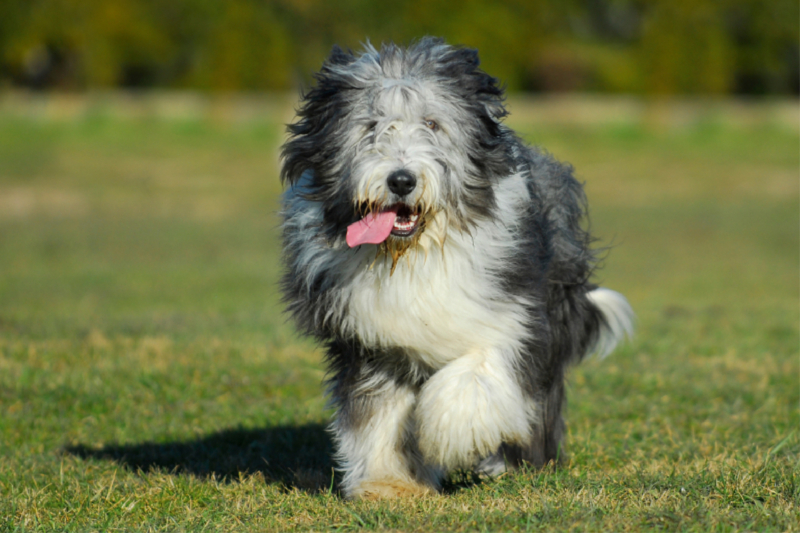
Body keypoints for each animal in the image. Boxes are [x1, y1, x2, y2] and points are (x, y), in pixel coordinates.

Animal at [278, 38, 636, 498]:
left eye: (432, 123)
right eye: (370, 125)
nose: (401, 180)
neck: (414, 254)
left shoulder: (514, 311)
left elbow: (478, 370)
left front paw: (451, 433)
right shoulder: (373, 339)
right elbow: (379, 412)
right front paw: (390, 483)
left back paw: (520, 462)